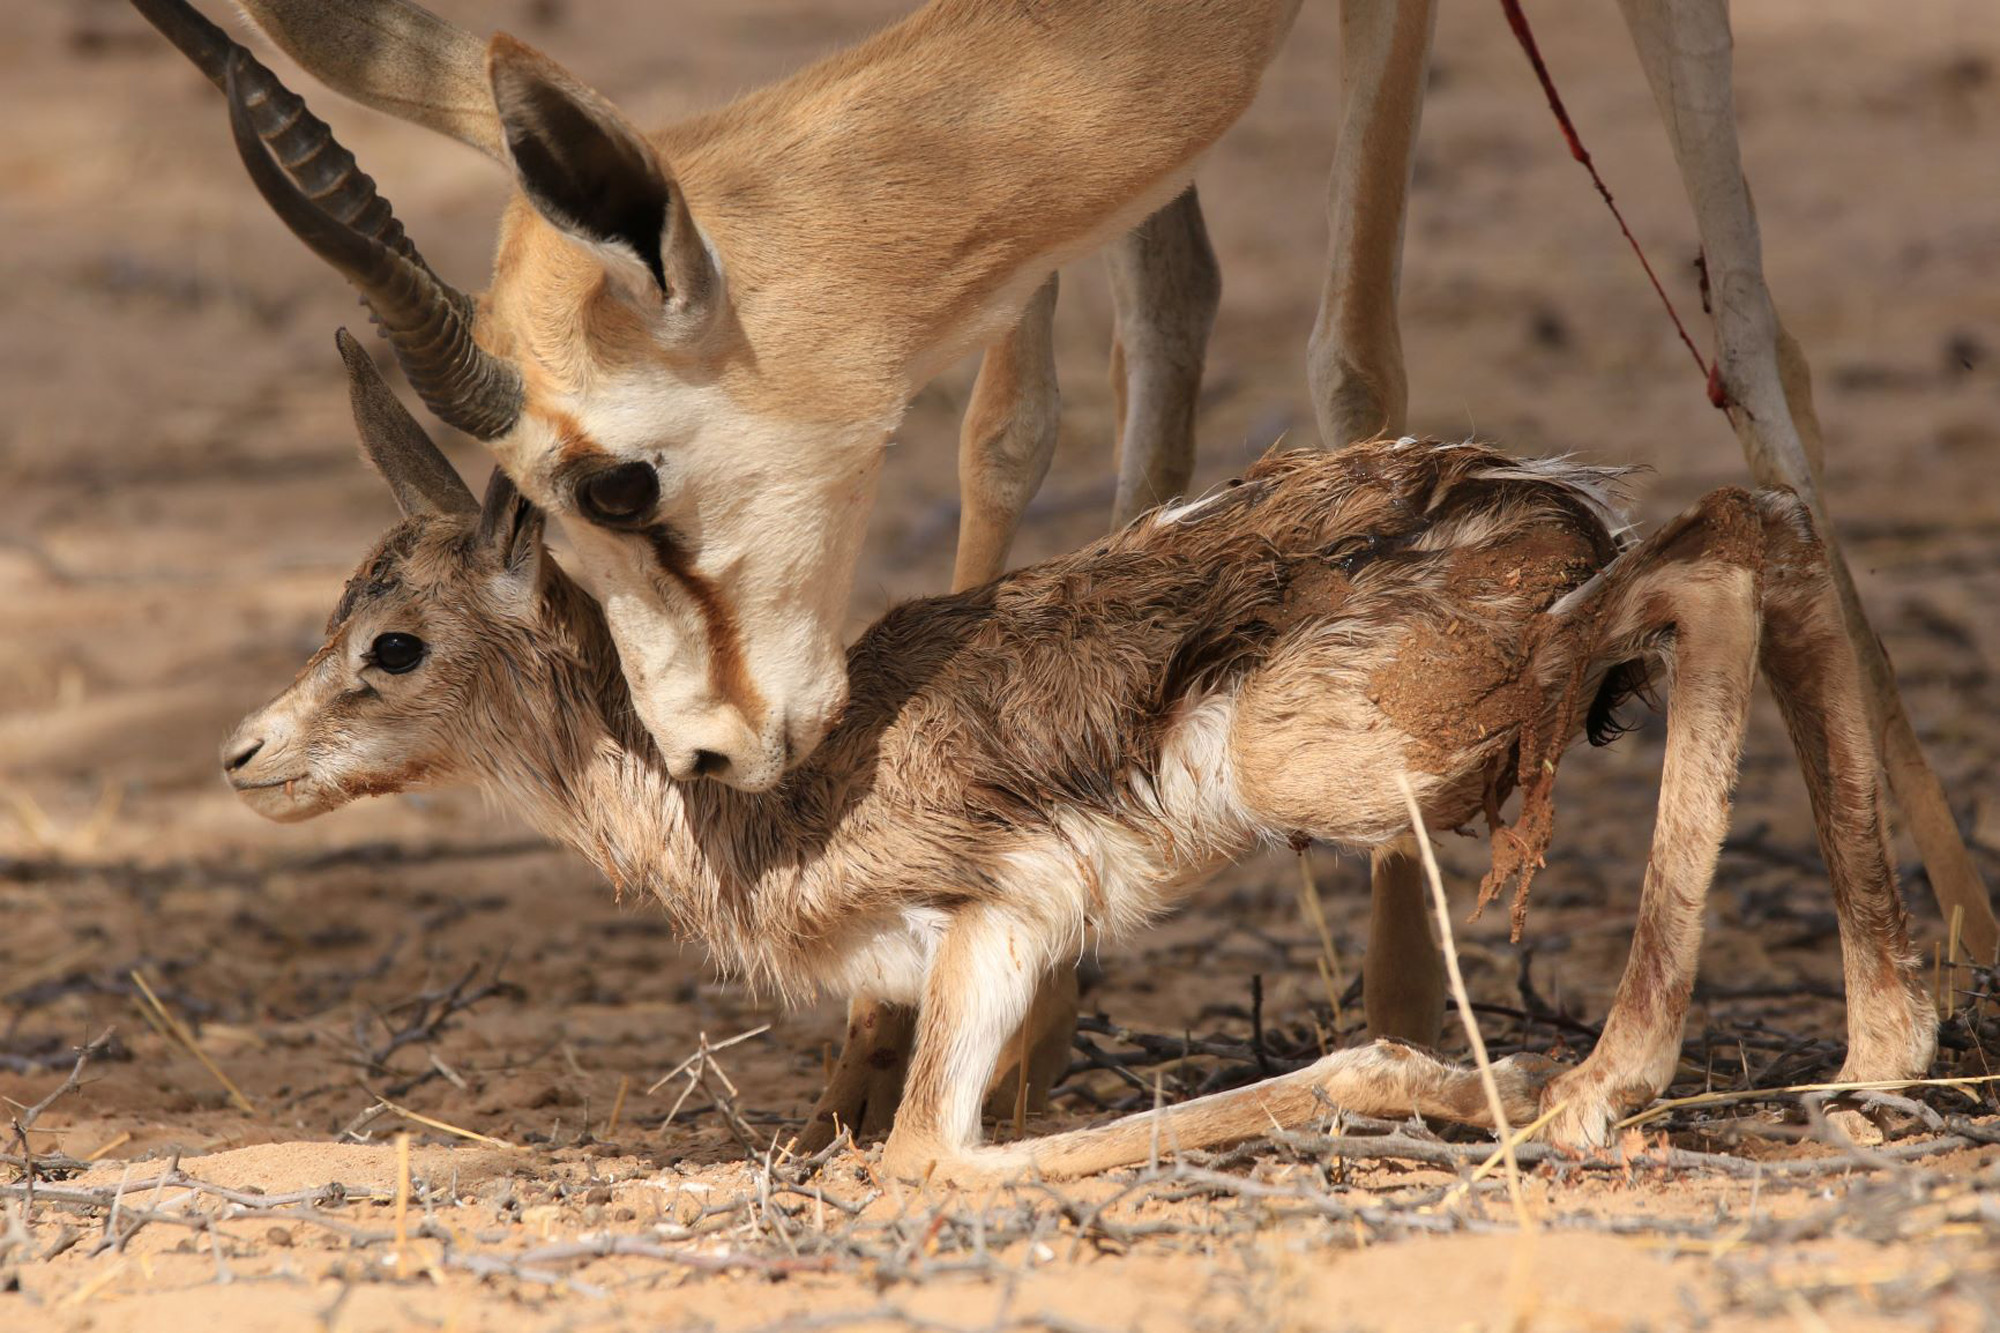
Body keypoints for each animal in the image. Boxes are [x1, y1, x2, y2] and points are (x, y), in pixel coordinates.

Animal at [223, 334, 1936, 1176]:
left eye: (392, 646)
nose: (243, 756)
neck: (745, 815)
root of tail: (1535, 494)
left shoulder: (1000, 928)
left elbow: (926, 1161)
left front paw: (1448, 1083)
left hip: (1360, 762)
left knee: (1716, 579)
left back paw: (1596, 1086)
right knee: (1762, 528)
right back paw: (1879, 1055)